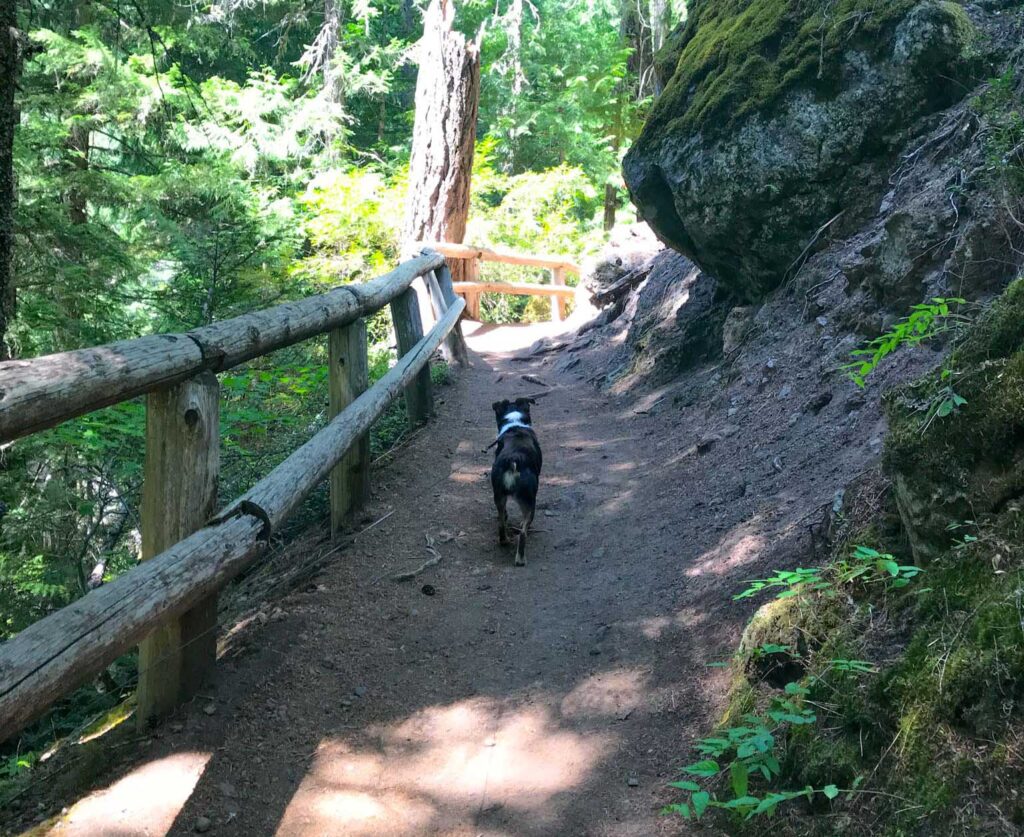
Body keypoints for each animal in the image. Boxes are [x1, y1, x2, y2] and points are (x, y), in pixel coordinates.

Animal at [489, 397, 544, 565]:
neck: (515, 424)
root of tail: (513, 460)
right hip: (529, 501)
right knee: (523, 532)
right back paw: (520, 559)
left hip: (499, 495)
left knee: (501, 522)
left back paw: (504, 541)